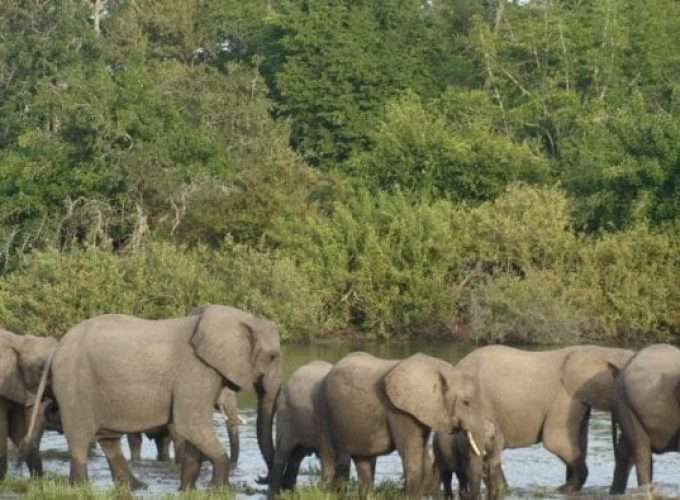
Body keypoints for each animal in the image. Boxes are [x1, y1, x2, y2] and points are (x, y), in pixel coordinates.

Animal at [27, 306, 280, 490]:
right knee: (80, 437)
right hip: (74, 384)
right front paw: (218, 491)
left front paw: (187, 490)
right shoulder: (194, 371)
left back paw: (137, 487)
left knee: (109, 440)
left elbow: (191, 431)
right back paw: (81, 488)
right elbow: (190, 424)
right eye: (272, 356)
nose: (260, 478)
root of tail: (57, 346)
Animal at [314, 352, 484, 496]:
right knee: (330, 454)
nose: (464, 493)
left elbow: (422, 451)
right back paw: (327, 493)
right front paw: (411, 496)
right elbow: (411, 452)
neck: (440, 369)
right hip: (323, 408)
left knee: (362, 459)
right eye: (466, 403)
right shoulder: (398, 411)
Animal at [454, 344, 636, 496]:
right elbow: (556, 441)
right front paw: (564, 489)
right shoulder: (565, 397)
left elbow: (579, 441)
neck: (600, 351)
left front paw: (568, 487)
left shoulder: (579, 400)